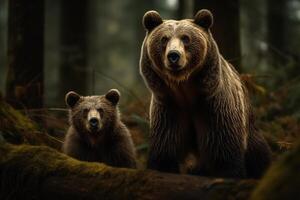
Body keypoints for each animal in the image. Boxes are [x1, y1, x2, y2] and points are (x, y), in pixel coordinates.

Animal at [141, 9, 272, 178]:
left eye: (186, 38)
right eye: (164, 39)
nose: (174, 55)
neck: (185, 90)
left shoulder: (214, 105)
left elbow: (224, 146)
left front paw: (228, 172)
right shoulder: (169, 106)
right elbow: (165, 142)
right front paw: (163, 166)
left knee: (259, 155)